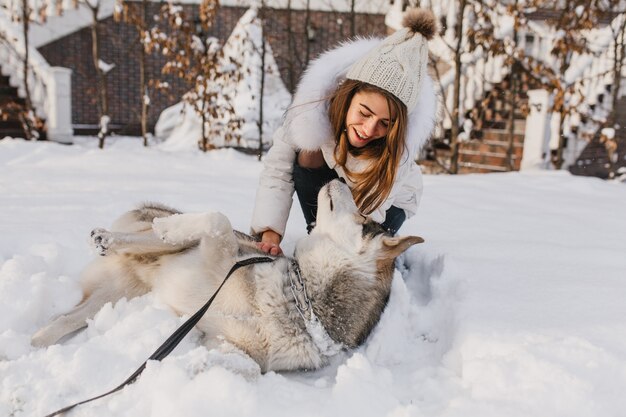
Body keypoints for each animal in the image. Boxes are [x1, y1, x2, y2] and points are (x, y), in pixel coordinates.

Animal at [35, 179, 424, 370]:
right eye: (363, 215)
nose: (341, 178)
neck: (300, 302)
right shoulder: (219, 251)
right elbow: (217, 218)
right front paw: (173, 227)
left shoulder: (226, 344)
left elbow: (241, 367)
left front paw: (184, 370)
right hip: (160, 249)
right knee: (156, 235)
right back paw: (117, 237)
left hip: (113, 295)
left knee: (63, 320)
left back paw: (36, 341)